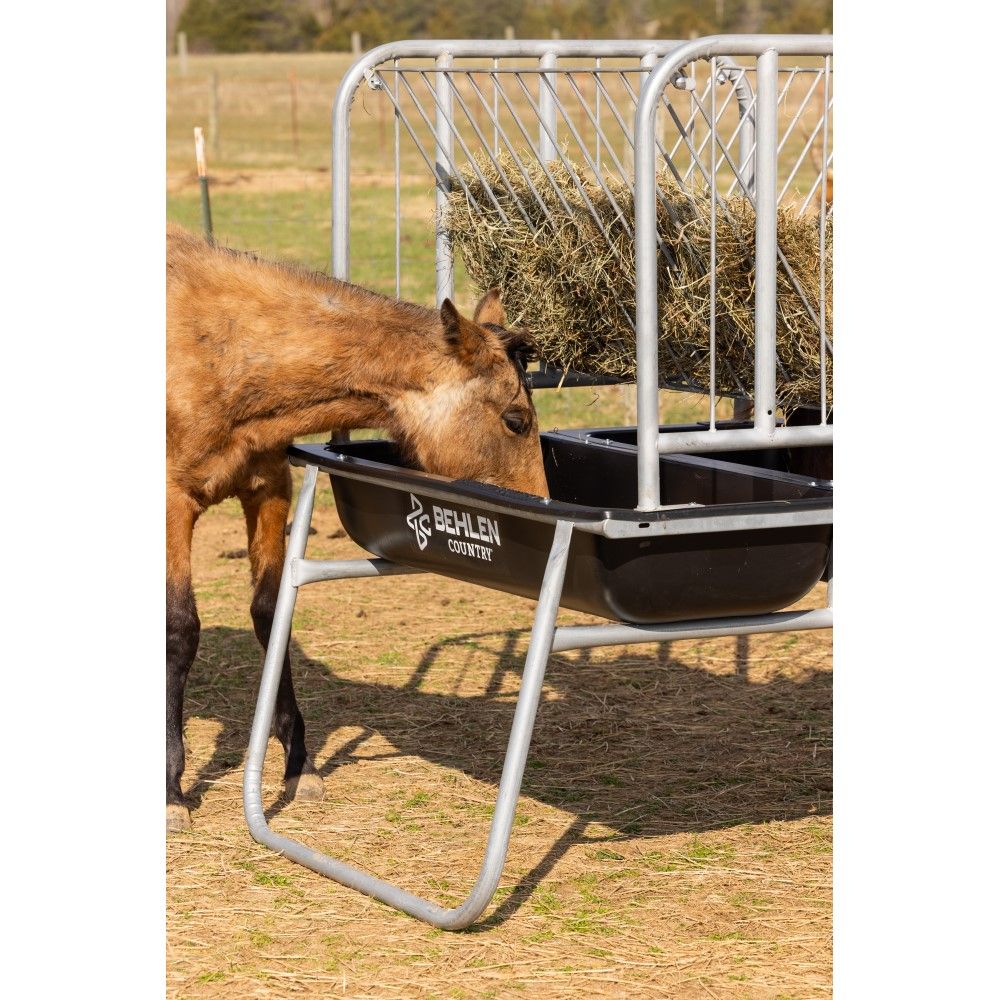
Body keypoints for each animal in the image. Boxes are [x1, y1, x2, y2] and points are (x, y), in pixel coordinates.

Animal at [166, 224, 548, 832]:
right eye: (516, 420)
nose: (542, 503)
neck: (221, 351)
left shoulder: (268, 487)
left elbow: (272, 614)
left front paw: (300, 766)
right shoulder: (173, 501)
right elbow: (180, 629)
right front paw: (173, 792)